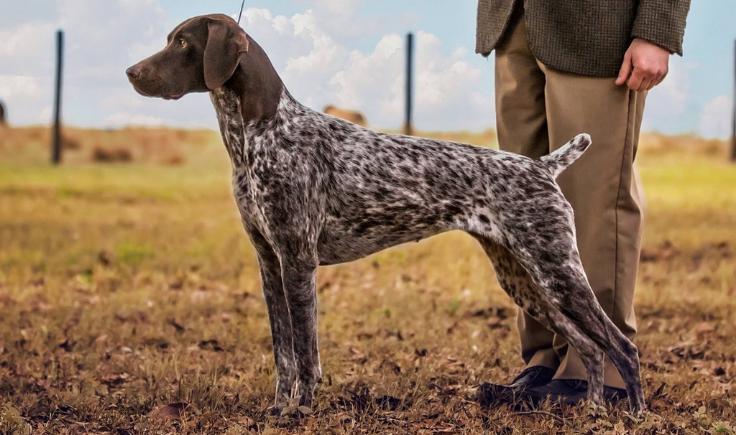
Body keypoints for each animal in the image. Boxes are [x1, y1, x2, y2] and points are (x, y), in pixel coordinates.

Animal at [126, 14, 644, 416]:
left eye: (182, 43)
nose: (130, 72)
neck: (258, 132)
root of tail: (542, 166)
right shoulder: (269, 263)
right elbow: (283, 354)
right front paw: (277, 408)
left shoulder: (298, 260)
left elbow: (306, 353)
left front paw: (300, 411)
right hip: (526, 280)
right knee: (590, 346)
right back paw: (593, 409)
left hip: (557, 270)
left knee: (621, 345)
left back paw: (634, 413)